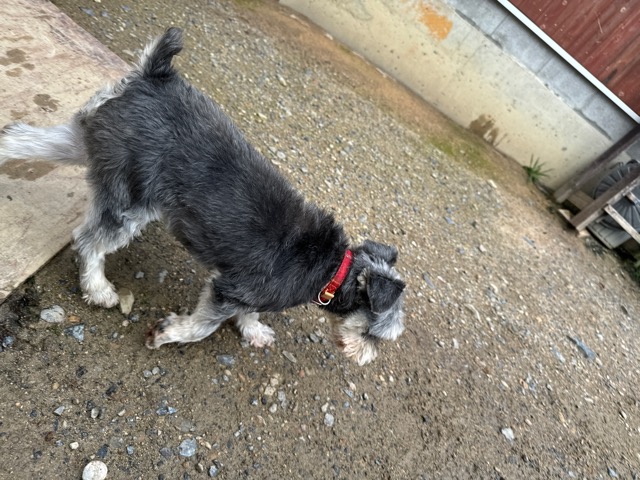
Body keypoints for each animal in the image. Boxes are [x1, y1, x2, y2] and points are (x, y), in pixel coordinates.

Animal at [0, 28, 405, 365]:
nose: (366, 358)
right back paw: (98, 290)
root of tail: (155, 74)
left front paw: (254, 331)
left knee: (19, 137)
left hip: (89, 145)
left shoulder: (246, 294)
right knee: (89, 240)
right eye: (375, 335)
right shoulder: (227, 289)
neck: (331, 269)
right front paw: (166, 334)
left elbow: (249, 313)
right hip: (131, 202)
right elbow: (203, 327)